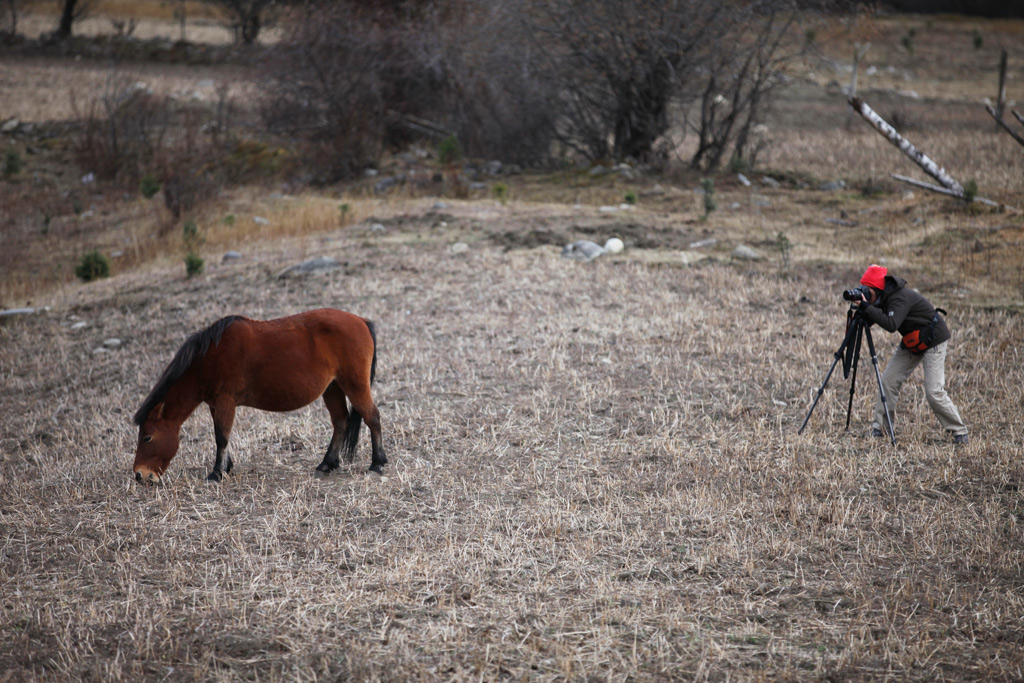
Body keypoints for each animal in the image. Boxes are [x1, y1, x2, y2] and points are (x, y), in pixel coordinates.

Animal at [129, 309, 385, 485]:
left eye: (147, 437)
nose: (140, 475)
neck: (206, 360)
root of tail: (360, 320)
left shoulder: (225, 401)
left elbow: (221, 437)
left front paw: (216, 473)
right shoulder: (215, 404)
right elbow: (222, 435)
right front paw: (226, 467)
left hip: (354, 385)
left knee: (373, 417)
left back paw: (377, 463)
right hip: (332, 388)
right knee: (340, 422)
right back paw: (326, 464)